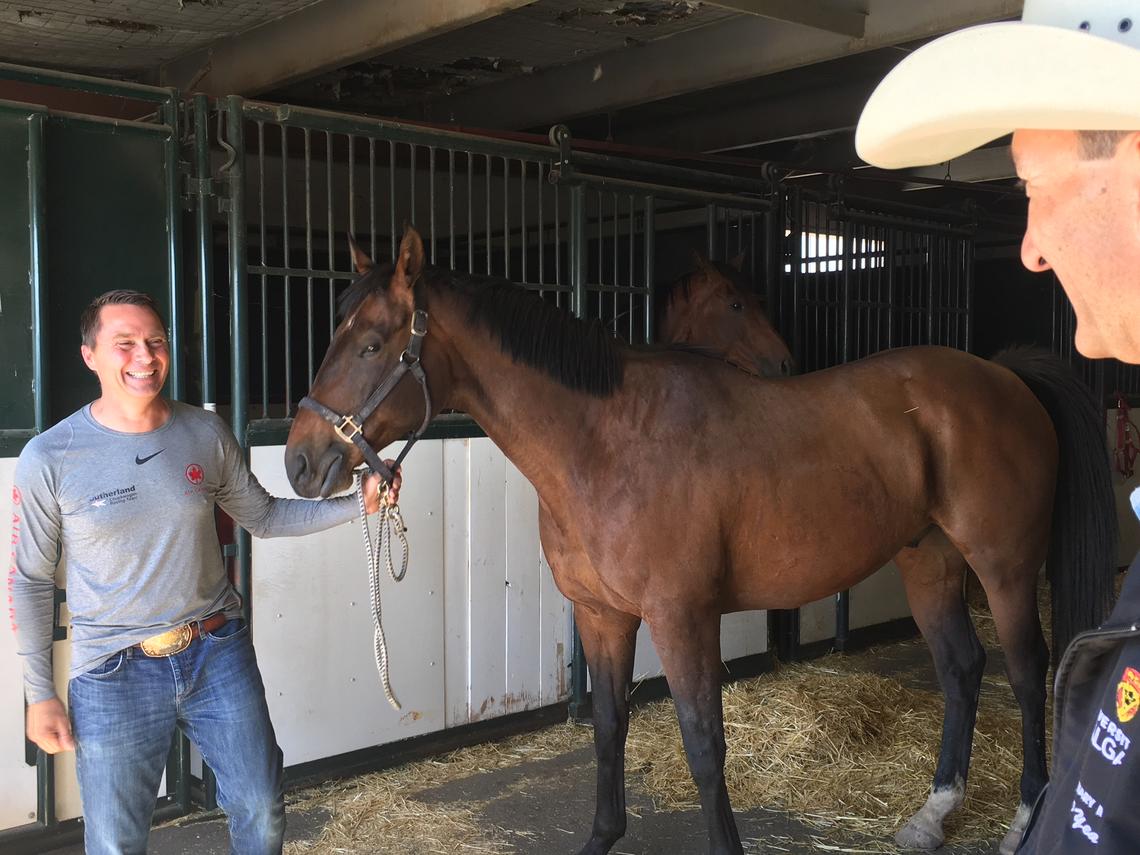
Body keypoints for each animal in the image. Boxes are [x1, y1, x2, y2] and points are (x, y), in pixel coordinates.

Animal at [285, 228, 1112, 855]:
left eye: (371, 344)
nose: (299, 462)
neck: (606, 442)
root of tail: (1000, 376)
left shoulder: (682, 617)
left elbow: (704, 744)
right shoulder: (603, 616)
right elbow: (609, 728)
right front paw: (602, 835)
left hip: (1003, 564)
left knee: (1027, 669)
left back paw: (1024, 816)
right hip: (929, 559)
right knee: (962, 667)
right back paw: (932, 813)